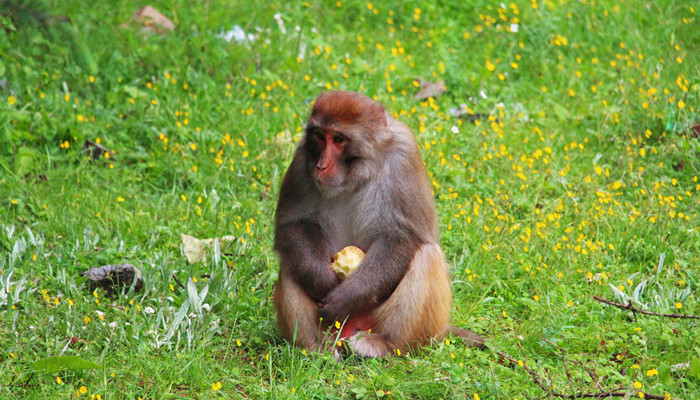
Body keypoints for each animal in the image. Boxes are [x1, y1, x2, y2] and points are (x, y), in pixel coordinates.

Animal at [274, 90, 486, 356]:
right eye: (320, 136)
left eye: (338, 139)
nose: (321, 165)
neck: (358, 172)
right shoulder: (303, 155)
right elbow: (293, 225)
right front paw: (322, 280)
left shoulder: (404, 155)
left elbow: (403, 236)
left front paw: (345, 298)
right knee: (290, 262)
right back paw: (317, 348)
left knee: (426, 255)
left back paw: (383, 343)